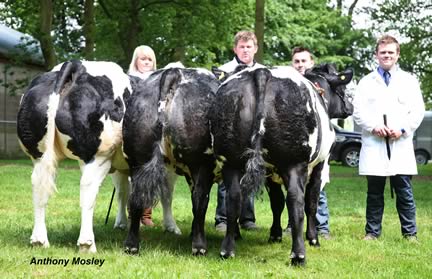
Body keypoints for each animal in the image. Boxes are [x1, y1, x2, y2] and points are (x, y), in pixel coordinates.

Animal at [16, 60, 133, 253]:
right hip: (98, 155)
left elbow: (123, 192)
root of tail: (75, 65)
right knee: (88, 189)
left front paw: (122, 223)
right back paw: (87, 244)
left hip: (39, 155)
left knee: (38, 187)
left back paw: (40, 241)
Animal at [123, 66, 221, 255]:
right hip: (201, 164)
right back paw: (199, 246)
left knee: (135, 198)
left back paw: (131, 245)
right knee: (200, 200)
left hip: (137, 159)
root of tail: (174, 72)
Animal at [211, 64, 352, 266]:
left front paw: (275, 235)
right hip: (294, 162)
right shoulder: (320, 165)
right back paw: (299, 255)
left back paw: (227, 250)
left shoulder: (270, 172)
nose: (350, 106)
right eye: (343, 89)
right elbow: (311, 203)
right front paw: (313, 239)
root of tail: (261, 71)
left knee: (233, 197)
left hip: (231, 160)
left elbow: (276, 203)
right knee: (296, 201)